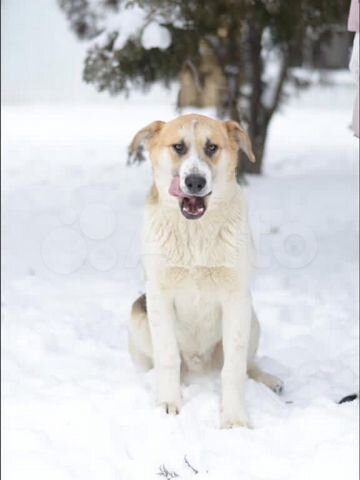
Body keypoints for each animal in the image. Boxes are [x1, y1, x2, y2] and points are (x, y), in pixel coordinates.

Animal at [128, 113, 282, 428]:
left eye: (212, 147)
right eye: (178, 147)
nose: (195, 182)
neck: (195, 232)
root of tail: (199, 368)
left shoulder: (236, 298)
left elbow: (234, 368)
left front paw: (235, 419)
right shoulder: (159, 296)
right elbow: (167, 357)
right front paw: (168, 404)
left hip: (252, 318)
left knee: (247, 365)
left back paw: (268, 381)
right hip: (137, 315)